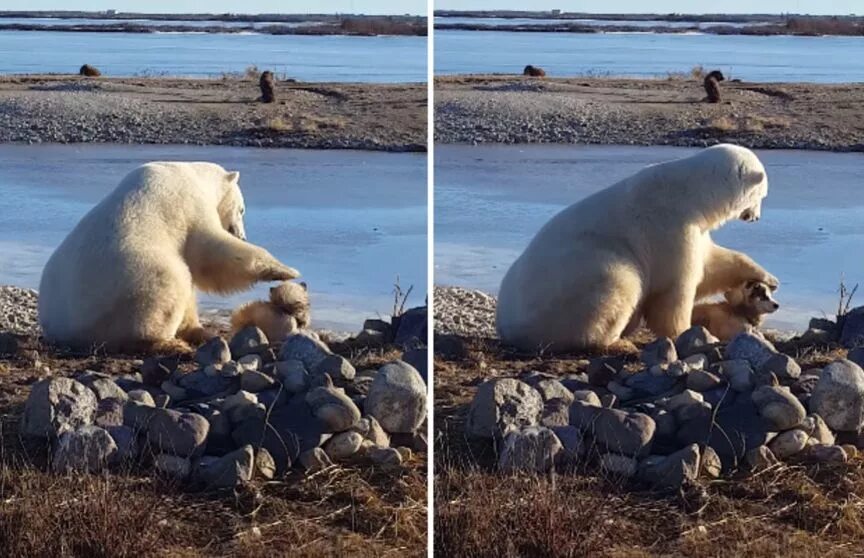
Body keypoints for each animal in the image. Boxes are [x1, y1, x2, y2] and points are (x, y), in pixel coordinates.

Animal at [38, 163, 300, 354]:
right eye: (243, 208)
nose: (242, 235)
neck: (194, 175)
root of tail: (63, 329)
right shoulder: (188, 206)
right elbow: (211, 251)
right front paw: (286, 270)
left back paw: (201, 333)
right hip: (130, 282)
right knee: (170, 284)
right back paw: (170, 343)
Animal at [496, 145, 780, 354]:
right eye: (763, 195)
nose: (755, 217)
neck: (690, 193)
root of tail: (506, 326)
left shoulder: (694, 229)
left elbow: (713, 264)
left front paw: (769, 278)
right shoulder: (669, 228)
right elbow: (675, 289)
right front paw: (686, 333)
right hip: (573, 284)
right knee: (620, 284)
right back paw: (618, 342)